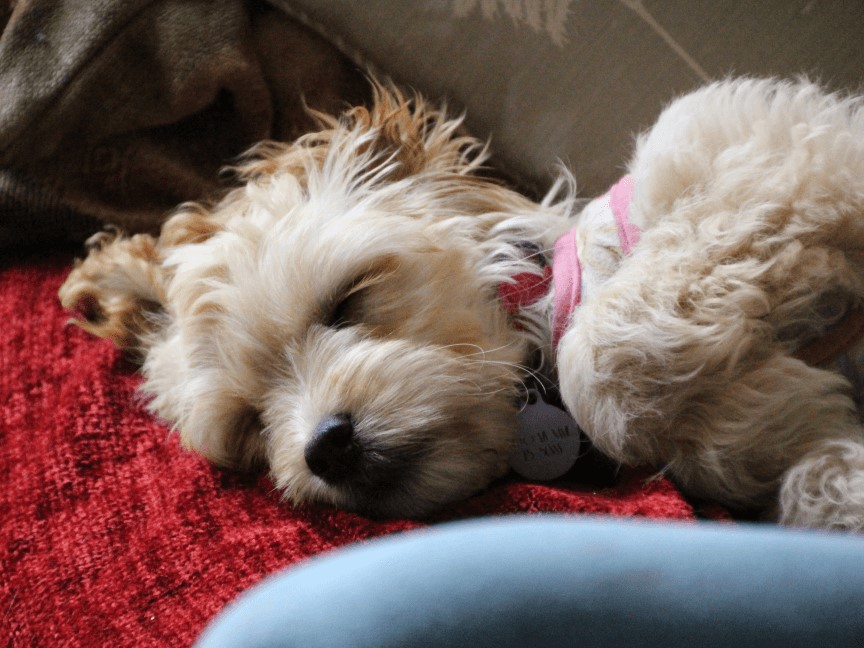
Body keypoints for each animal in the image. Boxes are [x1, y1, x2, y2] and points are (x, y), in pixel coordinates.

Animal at [64, 78, 864, 528]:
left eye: (347, 301)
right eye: (250, 426)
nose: (325, 447)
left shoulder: (779, 157)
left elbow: (600, 357)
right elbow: (811, 475)